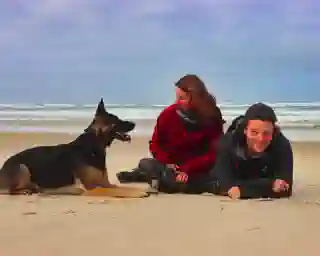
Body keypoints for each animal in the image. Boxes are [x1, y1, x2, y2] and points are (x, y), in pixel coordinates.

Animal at [0, 98, 149, 198]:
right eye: (117, 120)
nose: (134, 123)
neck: (93, 144)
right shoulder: (92, 188)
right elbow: (119, 190)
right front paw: (139, 192)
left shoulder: (106, 184)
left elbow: (119, 187)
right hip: (22, 167)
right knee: (11, 190)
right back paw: (26, 190)